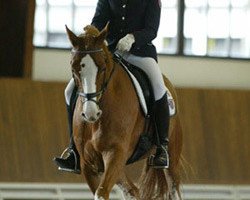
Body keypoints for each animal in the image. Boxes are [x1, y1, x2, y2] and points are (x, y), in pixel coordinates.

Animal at [65, 24, 183, 199]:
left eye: (103, 67)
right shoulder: (88, 165)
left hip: (171, 158)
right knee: (132, 191)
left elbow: (101, 194)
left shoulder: (115, 153)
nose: (91, 114)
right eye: (74, 68)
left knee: (172, 188)